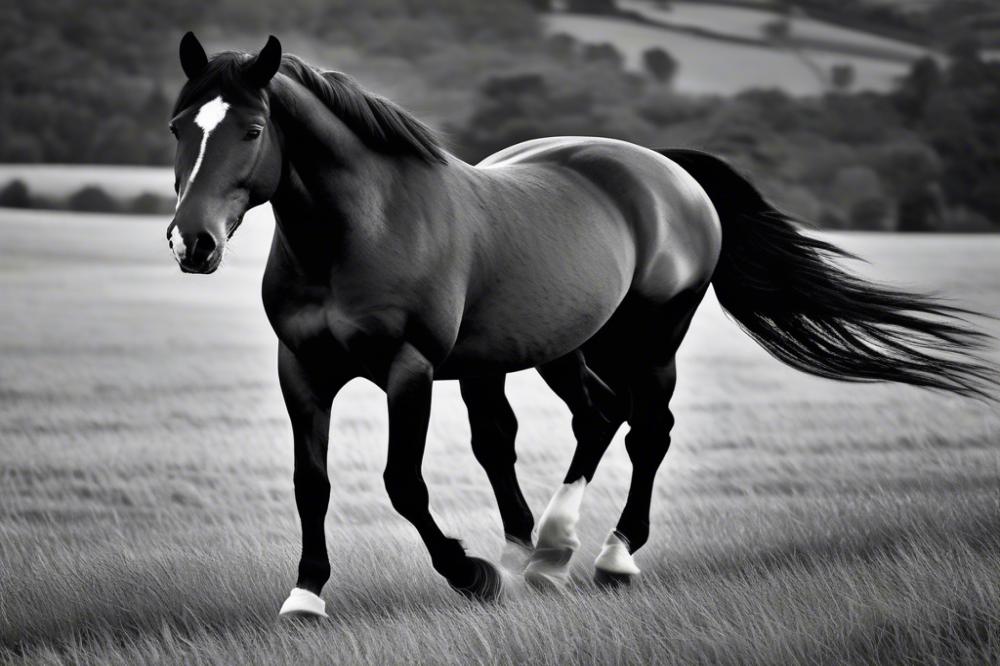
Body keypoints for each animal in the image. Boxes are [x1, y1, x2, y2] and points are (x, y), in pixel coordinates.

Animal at [166, 33, 995, 618]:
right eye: (179, 126)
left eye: (252, 128)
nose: (191, 243)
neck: (360, 230)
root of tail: (668, 170)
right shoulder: (302, 369)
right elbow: (312, 481)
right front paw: (306, 596)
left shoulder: (410, 369)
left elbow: (403, 483)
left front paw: (469, 574)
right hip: (557, 347)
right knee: (588, 417)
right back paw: (539, 553)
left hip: (651, 339)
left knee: (646, 429)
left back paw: (601, 557)